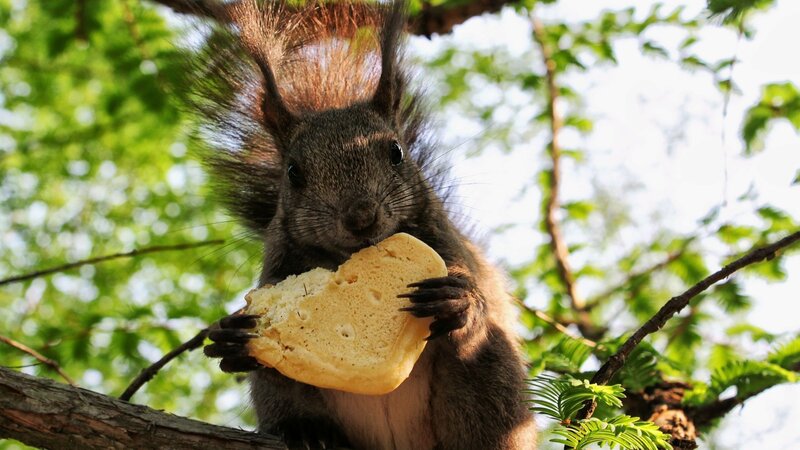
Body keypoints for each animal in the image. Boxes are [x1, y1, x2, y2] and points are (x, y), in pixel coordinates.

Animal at [197, 1, 537, 449]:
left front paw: (458, 300)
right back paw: (307, 432)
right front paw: (232, 338)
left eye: (396, 152)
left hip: (490, 381)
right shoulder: (277, 267)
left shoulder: (449, 247)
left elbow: (475, 298)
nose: (360, 217)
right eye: (293, 172)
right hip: (285, 398)